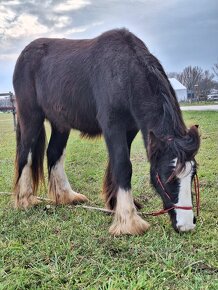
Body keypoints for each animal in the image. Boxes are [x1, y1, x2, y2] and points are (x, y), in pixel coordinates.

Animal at [12, 28, 200, 234]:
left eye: (192, 175)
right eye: (167, 177)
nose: (186, 225)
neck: (124, 74)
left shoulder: (129, 130)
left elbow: (116, 165)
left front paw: (116, 205)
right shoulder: (112, 126)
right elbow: (123, 166)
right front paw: (129, 221)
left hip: (60, 123)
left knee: (54, 153)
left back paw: (67, 196)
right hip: (31, 117)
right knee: (25, 154)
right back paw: (25, 200)